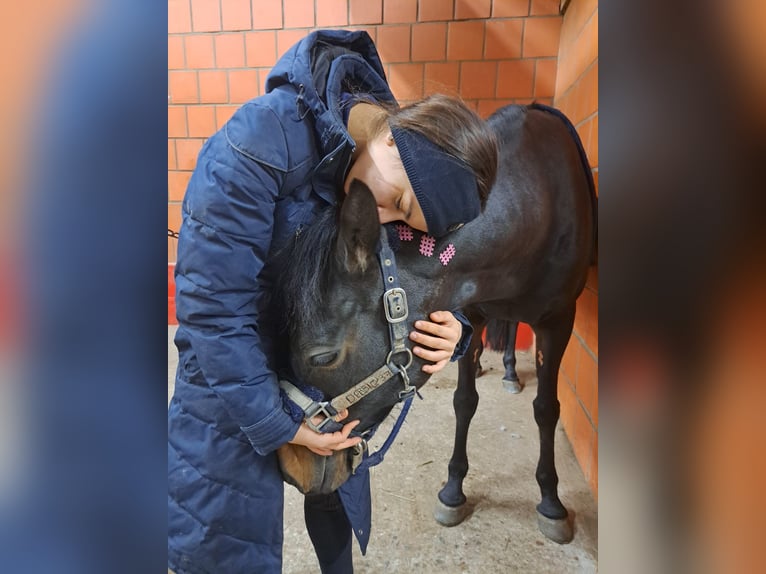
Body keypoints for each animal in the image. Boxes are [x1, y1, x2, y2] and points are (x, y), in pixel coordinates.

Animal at [280, 103, 596, 544]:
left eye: (323, 358)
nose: (291, 462)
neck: (538, 205)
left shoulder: (559, 322)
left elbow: (547, 409)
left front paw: (550, 501)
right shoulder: (472, 308)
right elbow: (464, 401)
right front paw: (453, 489)